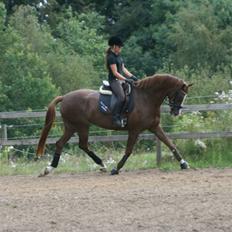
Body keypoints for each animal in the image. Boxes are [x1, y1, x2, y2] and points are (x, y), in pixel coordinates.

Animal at [36, 74, 192, 176]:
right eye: (180, 95)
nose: (176, 112)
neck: (146, 98)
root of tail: (65, 97)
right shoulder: (134, 130)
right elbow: (128, 150)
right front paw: (116, 169)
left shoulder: (154, 127)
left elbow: (170, 143)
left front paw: (184, 163)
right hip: (80, 126)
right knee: (79, 145)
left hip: (73, 127)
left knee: (65, 144)